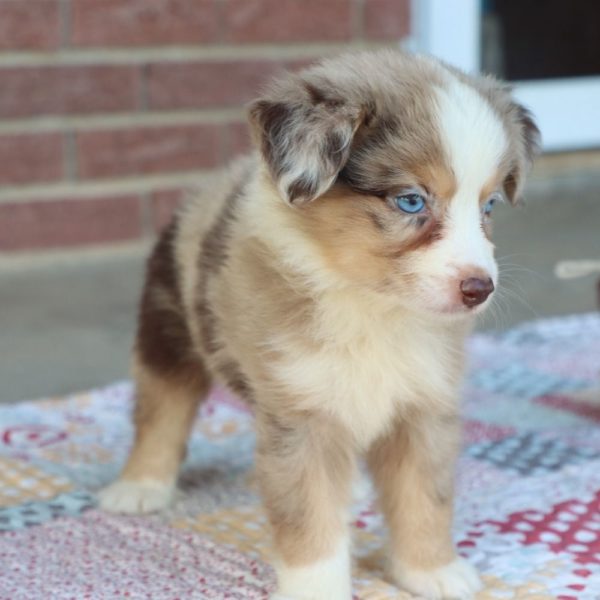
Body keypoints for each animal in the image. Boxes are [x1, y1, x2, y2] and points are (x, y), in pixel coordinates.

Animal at [98, 51, 540, 600]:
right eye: (411, 201)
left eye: (489, 206)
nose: (480, 288)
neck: (370, 305)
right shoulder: (302, 413)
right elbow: (310, 516)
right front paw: (318, 588)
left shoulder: (422, 406)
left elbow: (424, 496)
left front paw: (431, 571)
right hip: (168, 327)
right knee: (161, 410)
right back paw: (139, 486)